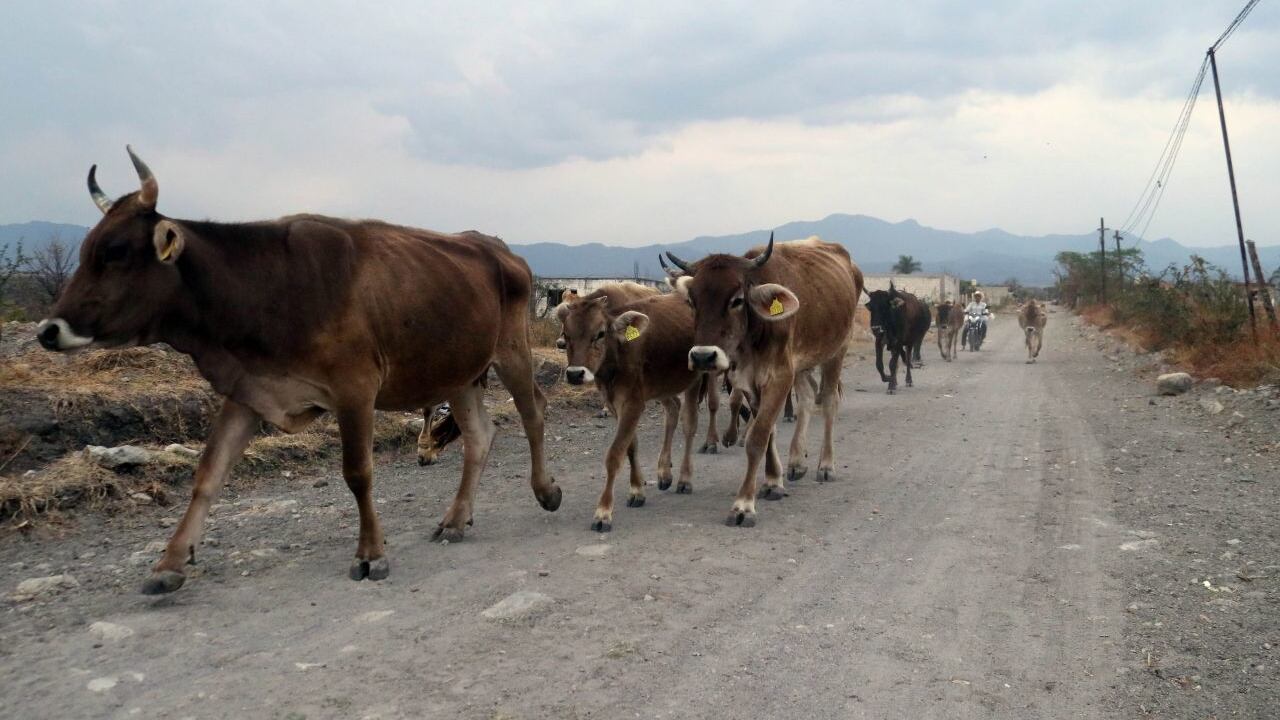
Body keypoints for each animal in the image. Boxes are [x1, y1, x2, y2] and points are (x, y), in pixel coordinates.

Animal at [36, 147, 562, 594]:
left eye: (117, 253)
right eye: (86, 251)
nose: (48, 330)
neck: (268, 285)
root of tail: (498, 248)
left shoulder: (355, 388)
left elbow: (358, 472)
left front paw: (370, 554)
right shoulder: (248, 389)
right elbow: (209, 473)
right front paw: (170, 562)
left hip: (511, 352)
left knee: (534, 411)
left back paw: (545, 491)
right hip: (460, 371)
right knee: (479, 435)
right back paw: (455, 519)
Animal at [557, 293, 705, 531]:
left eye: (600, 334)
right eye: (566, 335)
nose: (575, 374)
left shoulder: (633, 402)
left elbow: (615, 454)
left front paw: (603, 512)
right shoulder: (616, 404)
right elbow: (631, 446)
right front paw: (637, 491)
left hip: (695, 378)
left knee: (689, 424)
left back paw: (684, 479)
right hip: (661, 385)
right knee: (673, 409)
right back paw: (664, 472)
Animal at [665, 234, 863, 527]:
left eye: (736, 300)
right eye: (692, 301)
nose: (702, 357)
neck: (754, 336)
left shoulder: (779, 376)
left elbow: (757, 437)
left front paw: (744, 505)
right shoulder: (748, 380)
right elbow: (768, 430)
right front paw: (772, 481)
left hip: (837, 351)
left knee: (828, 401)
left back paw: (826, 465)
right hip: (801, 365)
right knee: (807, 397)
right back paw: (796, 462)